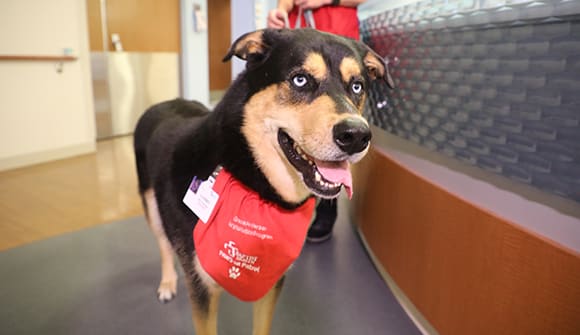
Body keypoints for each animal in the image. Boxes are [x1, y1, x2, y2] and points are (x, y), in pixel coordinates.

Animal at [133, 28, 394, 335]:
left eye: (356, 86)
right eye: (300, 79)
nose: (356, 136)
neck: (251, 180)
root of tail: (166, 101)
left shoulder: (271, 281)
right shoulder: (202, 288)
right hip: (151, 205)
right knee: (163, 244)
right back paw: (167, 283)